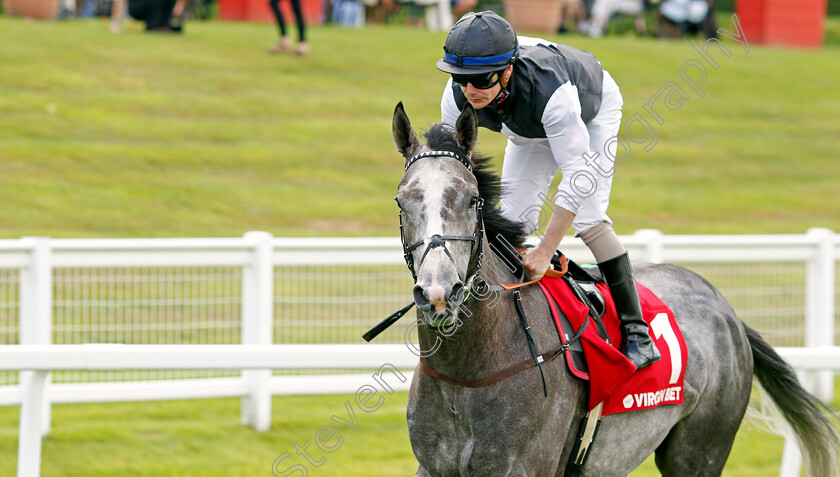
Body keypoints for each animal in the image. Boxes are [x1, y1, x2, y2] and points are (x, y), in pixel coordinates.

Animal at [394, 101, 840, 476]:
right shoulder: (432, 467)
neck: (469, 372)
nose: (439, 294)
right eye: (402, 201)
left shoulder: (523, 467)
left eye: (471, 199)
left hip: (700, 450)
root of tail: (726, 311)